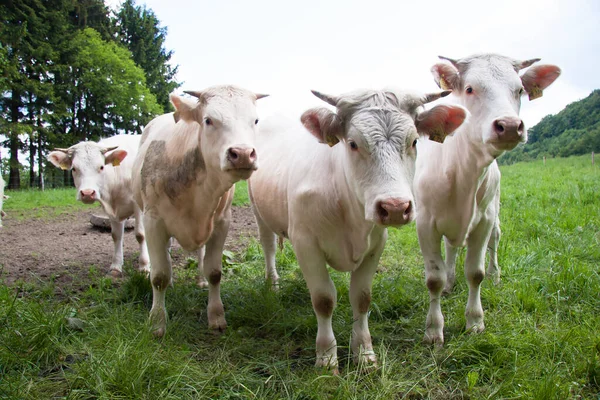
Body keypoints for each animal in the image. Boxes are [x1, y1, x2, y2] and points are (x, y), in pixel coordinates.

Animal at [47, 134, 149, 276]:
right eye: (74, 168)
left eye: (101, 167)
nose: (87, 193)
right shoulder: (112, 209)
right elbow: (116, 235)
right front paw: (115, 267)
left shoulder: (139, 205)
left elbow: (140, 234)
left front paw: (144, 267)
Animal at [134, 84, 268, 338]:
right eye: (208, 120)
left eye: (255, 120)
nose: (243, 154)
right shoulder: (153, 220)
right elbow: (159, 276)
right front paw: (157, 323)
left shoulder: (221, 222)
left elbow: (214, 271)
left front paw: (216, 317)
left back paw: (199, 280)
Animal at [247, 89, 464, 370]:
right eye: (352, 143)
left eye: (415, 141)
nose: (395, 207)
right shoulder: (306, 243)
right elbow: (323, 299)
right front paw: (326, 357)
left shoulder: (375, 245)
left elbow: (361, 298)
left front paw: (363, 352)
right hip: (258, 211)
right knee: (268, 246)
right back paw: (272, 284)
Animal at [414, 53, 560, 346]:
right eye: (470, 89)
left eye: (519, 90)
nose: (510, 126)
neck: (462, 172)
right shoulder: (426, 223)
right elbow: (433, 278)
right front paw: (434, 329)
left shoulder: (483, 221)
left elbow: (475, 273)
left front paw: (474, 321)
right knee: (451, 248)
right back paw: (449, 281)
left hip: (495, 210)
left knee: (495, 239)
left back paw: (495, 274)